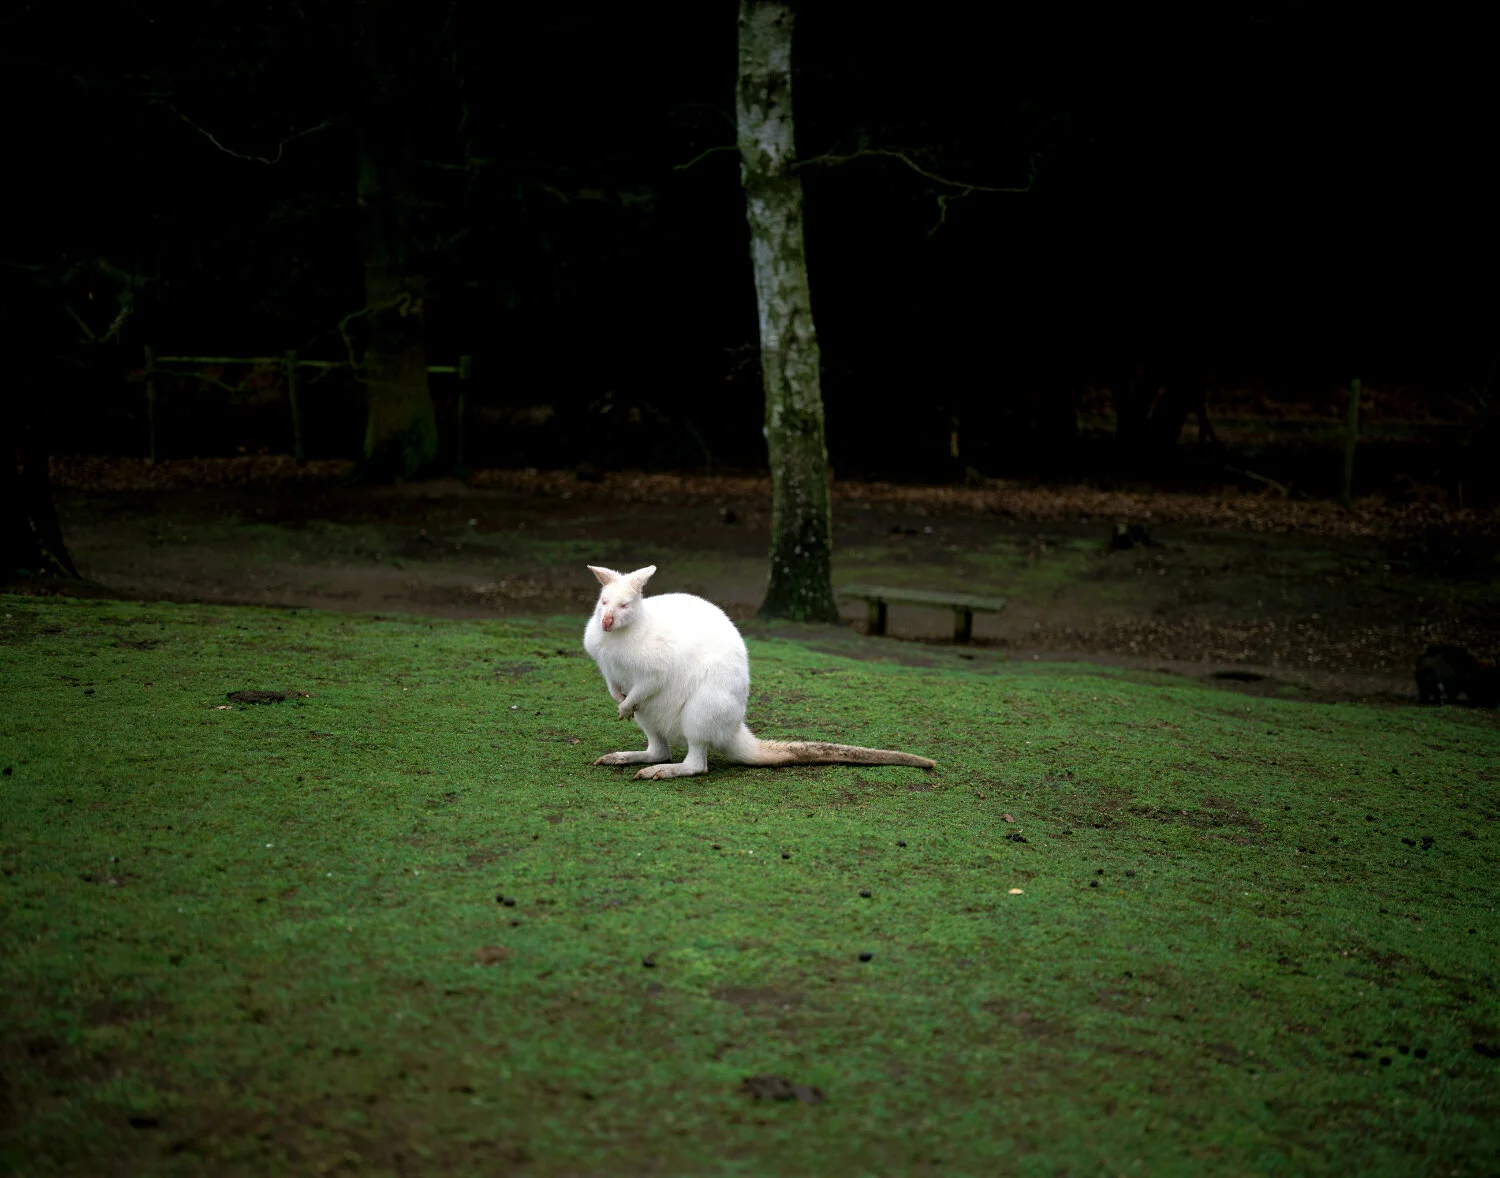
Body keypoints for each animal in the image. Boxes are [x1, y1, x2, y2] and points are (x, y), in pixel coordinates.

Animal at [582, 565, 936, 780]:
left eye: (625, 605)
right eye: (604, 602)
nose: (606, 622)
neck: (625, 632)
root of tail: (734, 730)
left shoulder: (654, 669)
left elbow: (646, 684)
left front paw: (622, 707)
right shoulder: (606, 664)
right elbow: (613, 683)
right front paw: (617, 701)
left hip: (702, 707)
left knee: (696, 763)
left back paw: (661, 771)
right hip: (652, 716)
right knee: (659, 749)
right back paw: (624, 757)